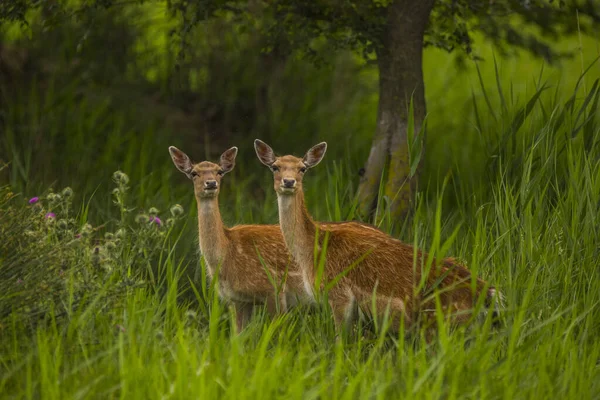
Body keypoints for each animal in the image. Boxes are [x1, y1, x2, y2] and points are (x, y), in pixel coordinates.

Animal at [253, 139, 502, 340]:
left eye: (303, 168)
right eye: (275, 166)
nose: (288, 182)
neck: (312, 251)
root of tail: (489, 295)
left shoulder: (340, 296)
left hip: (439, 324)